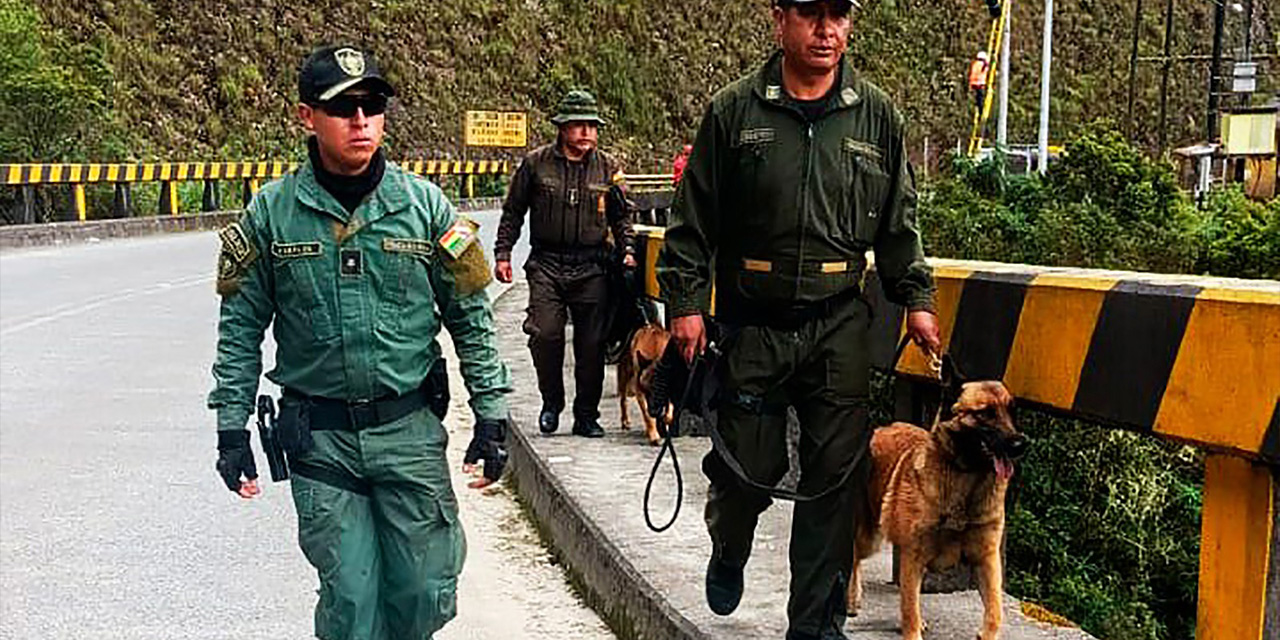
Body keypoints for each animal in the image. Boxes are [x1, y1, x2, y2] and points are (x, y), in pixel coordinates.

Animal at [849, 378, 1029, 640]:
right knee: (854, 558)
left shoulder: (987, 559)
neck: (967, 477)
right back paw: (851, 600)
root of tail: (877, 430)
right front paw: (912, 629)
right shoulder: (913, 556)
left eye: (1012, 411)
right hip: (868, 537)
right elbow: (909, 608)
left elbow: (995, 611)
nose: (1020, 444)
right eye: (984, 413)